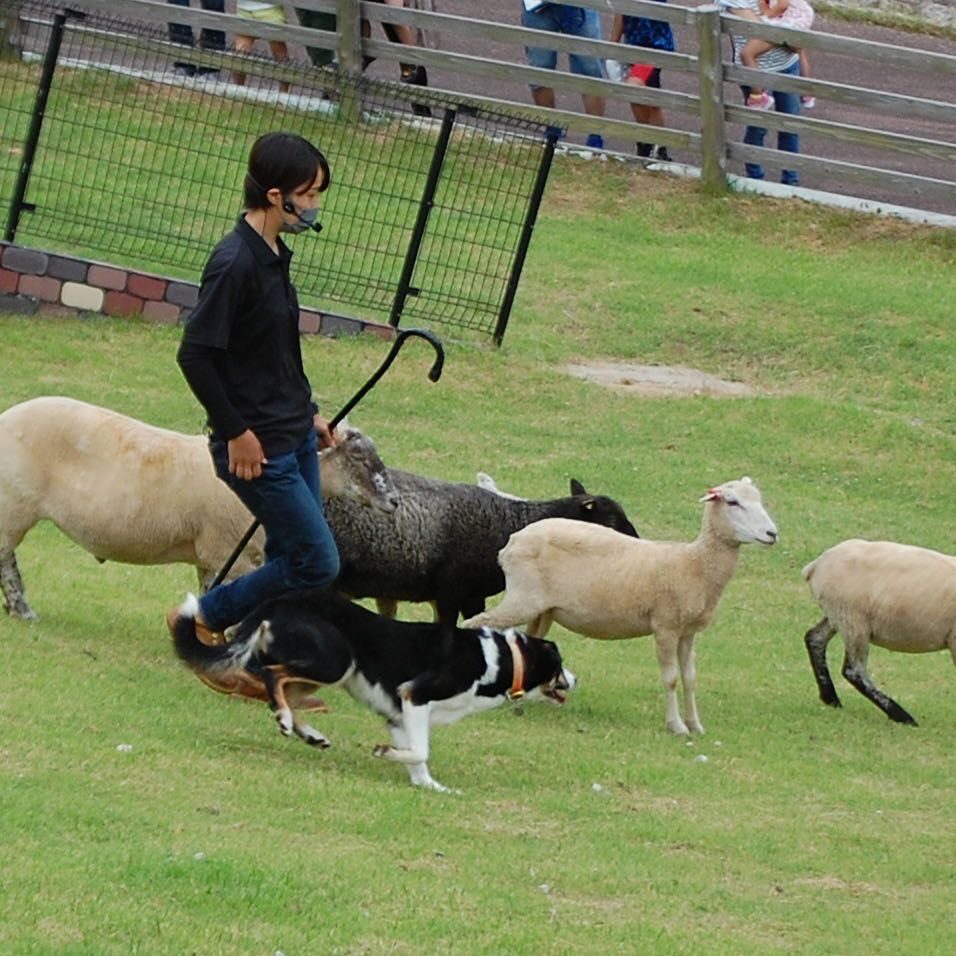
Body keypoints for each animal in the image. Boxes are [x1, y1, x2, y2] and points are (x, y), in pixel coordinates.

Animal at [0, 396, 396, 620]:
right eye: (358, 456)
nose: (393, 501)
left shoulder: (214, 556)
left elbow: (211, 592)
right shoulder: (229, 552)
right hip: (15, 505)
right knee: (6, 559)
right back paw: (22, 610)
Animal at [462, 478, 776, 740]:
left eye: (760, 500)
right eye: (732, 502)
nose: (772, 533)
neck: (694, 564)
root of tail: (513, 541)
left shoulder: (687, 632)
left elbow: (690, 678)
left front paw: (695, 725)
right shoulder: (665, 626)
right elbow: (672, 679)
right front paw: (676, 726)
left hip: (543, 608)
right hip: (523, 599)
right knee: (474, 624)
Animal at [804, 536, 956, 724]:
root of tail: (817, 565)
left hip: (837, 616)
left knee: (815, 639)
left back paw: (831, 699)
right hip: (853, 620)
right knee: (853, 671)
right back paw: (902, 716)